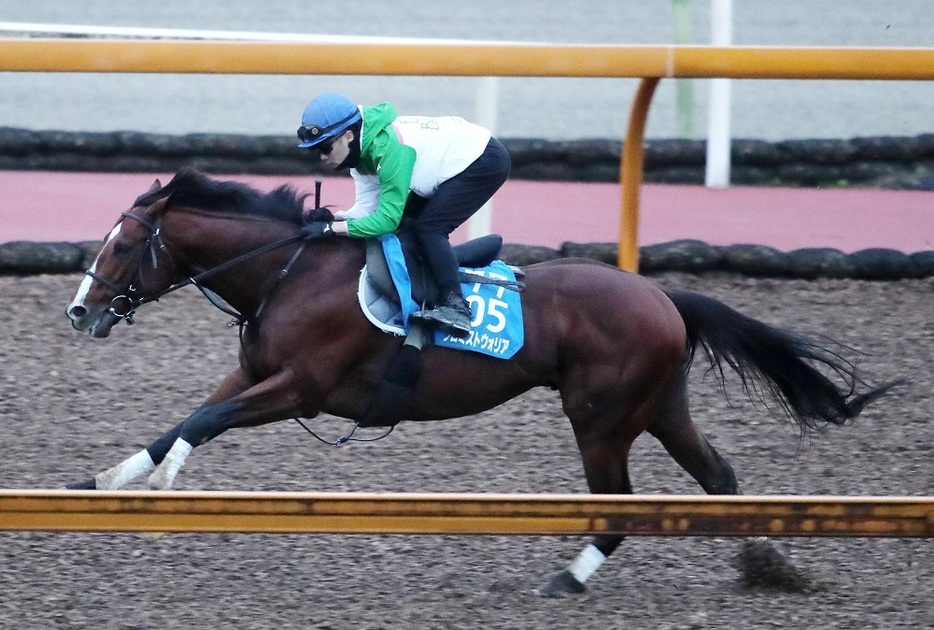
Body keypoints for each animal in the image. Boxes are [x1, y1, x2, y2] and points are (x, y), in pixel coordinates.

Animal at [62, 168, 896, 596]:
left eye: (125, 244)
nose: (79, 312)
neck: (288, 273)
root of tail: (664, 296)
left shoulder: (303, 387)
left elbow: (201, 424)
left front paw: (162, 479)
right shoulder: (255, 371)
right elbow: (181, 420)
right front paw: (103, 481)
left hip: (601, 416)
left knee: (621, 501)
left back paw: (572, 577)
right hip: (660, 405)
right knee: (719, 475)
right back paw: (767, 560)